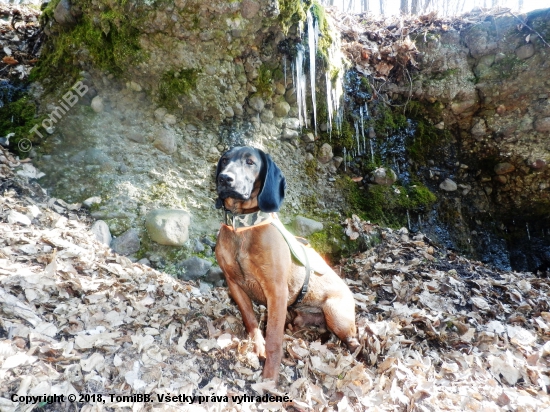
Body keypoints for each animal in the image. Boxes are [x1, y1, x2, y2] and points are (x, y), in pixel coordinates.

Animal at [213, 146, 360, 384]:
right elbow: (250, 320)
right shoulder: (234, 285)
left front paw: (270, 377)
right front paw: (258, 346)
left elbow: (274, 338)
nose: (225, 178)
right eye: (225, 160)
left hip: (335, 312)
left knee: (355, 341)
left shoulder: (276, 292)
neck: (242, 227)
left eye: (250, 162)